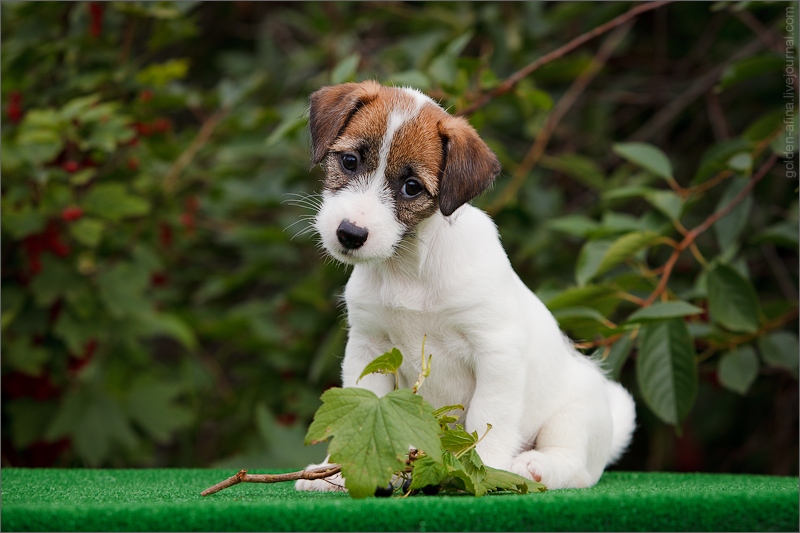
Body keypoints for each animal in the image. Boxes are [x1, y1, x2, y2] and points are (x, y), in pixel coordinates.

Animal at [296, 80, 636, 490]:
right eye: (349, 161)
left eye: (411, 187)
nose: (350, 234)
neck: (409, 269)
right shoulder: (369, 347)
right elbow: (362, 411)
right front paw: (337, 471)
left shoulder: (497, 350)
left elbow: (488, 419)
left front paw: (486, 470)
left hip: (574, 415)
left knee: (577, 467)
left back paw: (533, 466)